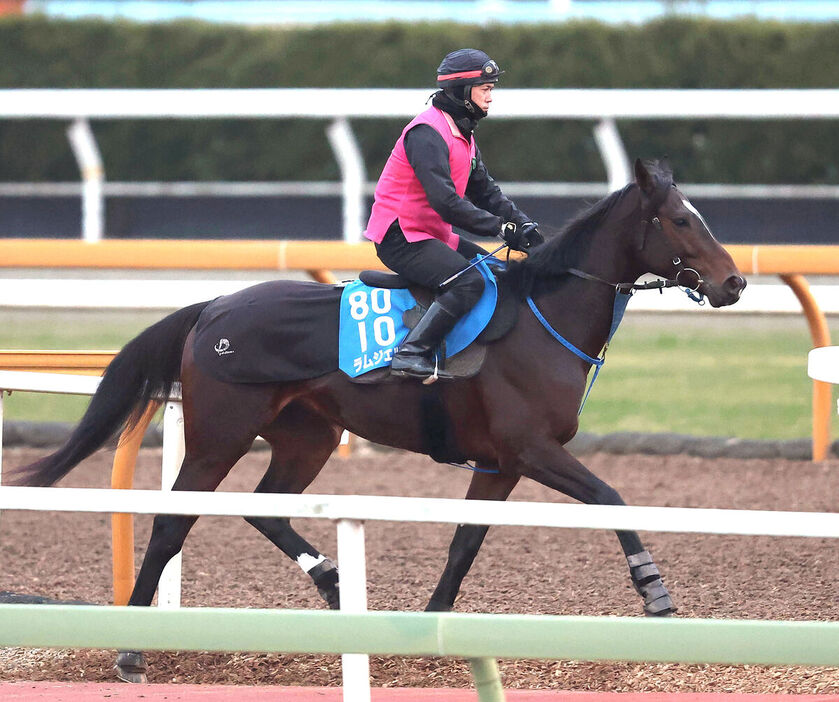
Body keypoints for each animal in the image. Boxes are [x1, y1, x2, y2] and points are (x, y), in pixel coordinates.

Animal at [11, 160, 748, 680]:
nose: (735, 283)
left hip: (309, 436)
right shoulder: (533, 449)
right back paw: (131, 649)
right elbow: (610, 497)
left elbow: (463, 543)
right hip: (219, 435)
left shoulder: (499, 464)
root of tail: (212, 308)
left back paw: (333, 581)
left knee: (264, 506)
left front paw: (427, 627)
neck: (544, 316)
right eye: (681, 221)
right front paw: (654, 593)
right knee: (172, 523)